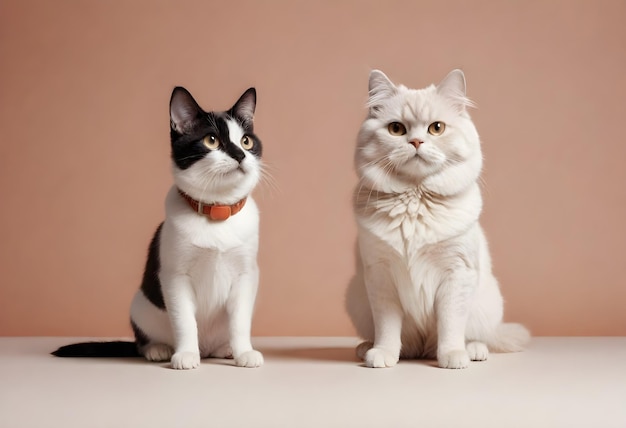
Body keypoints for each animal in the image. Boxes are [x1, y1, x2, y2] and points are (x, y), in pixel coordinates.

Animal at [344, 69, 528, 368]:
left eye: (436, 128)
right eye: (396, 129)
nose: (416, 142)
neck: (416, 200)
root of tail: (422, 348)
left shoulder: (457, 273)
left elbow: (450, 325)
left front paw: (452, 356)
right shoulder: (381, 276)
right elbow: (387, 327)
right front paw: (383, 354)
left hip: (487, 301)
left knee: (477, 338)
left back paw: (472, 351)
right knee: (406, 343)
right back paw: (370, 348)